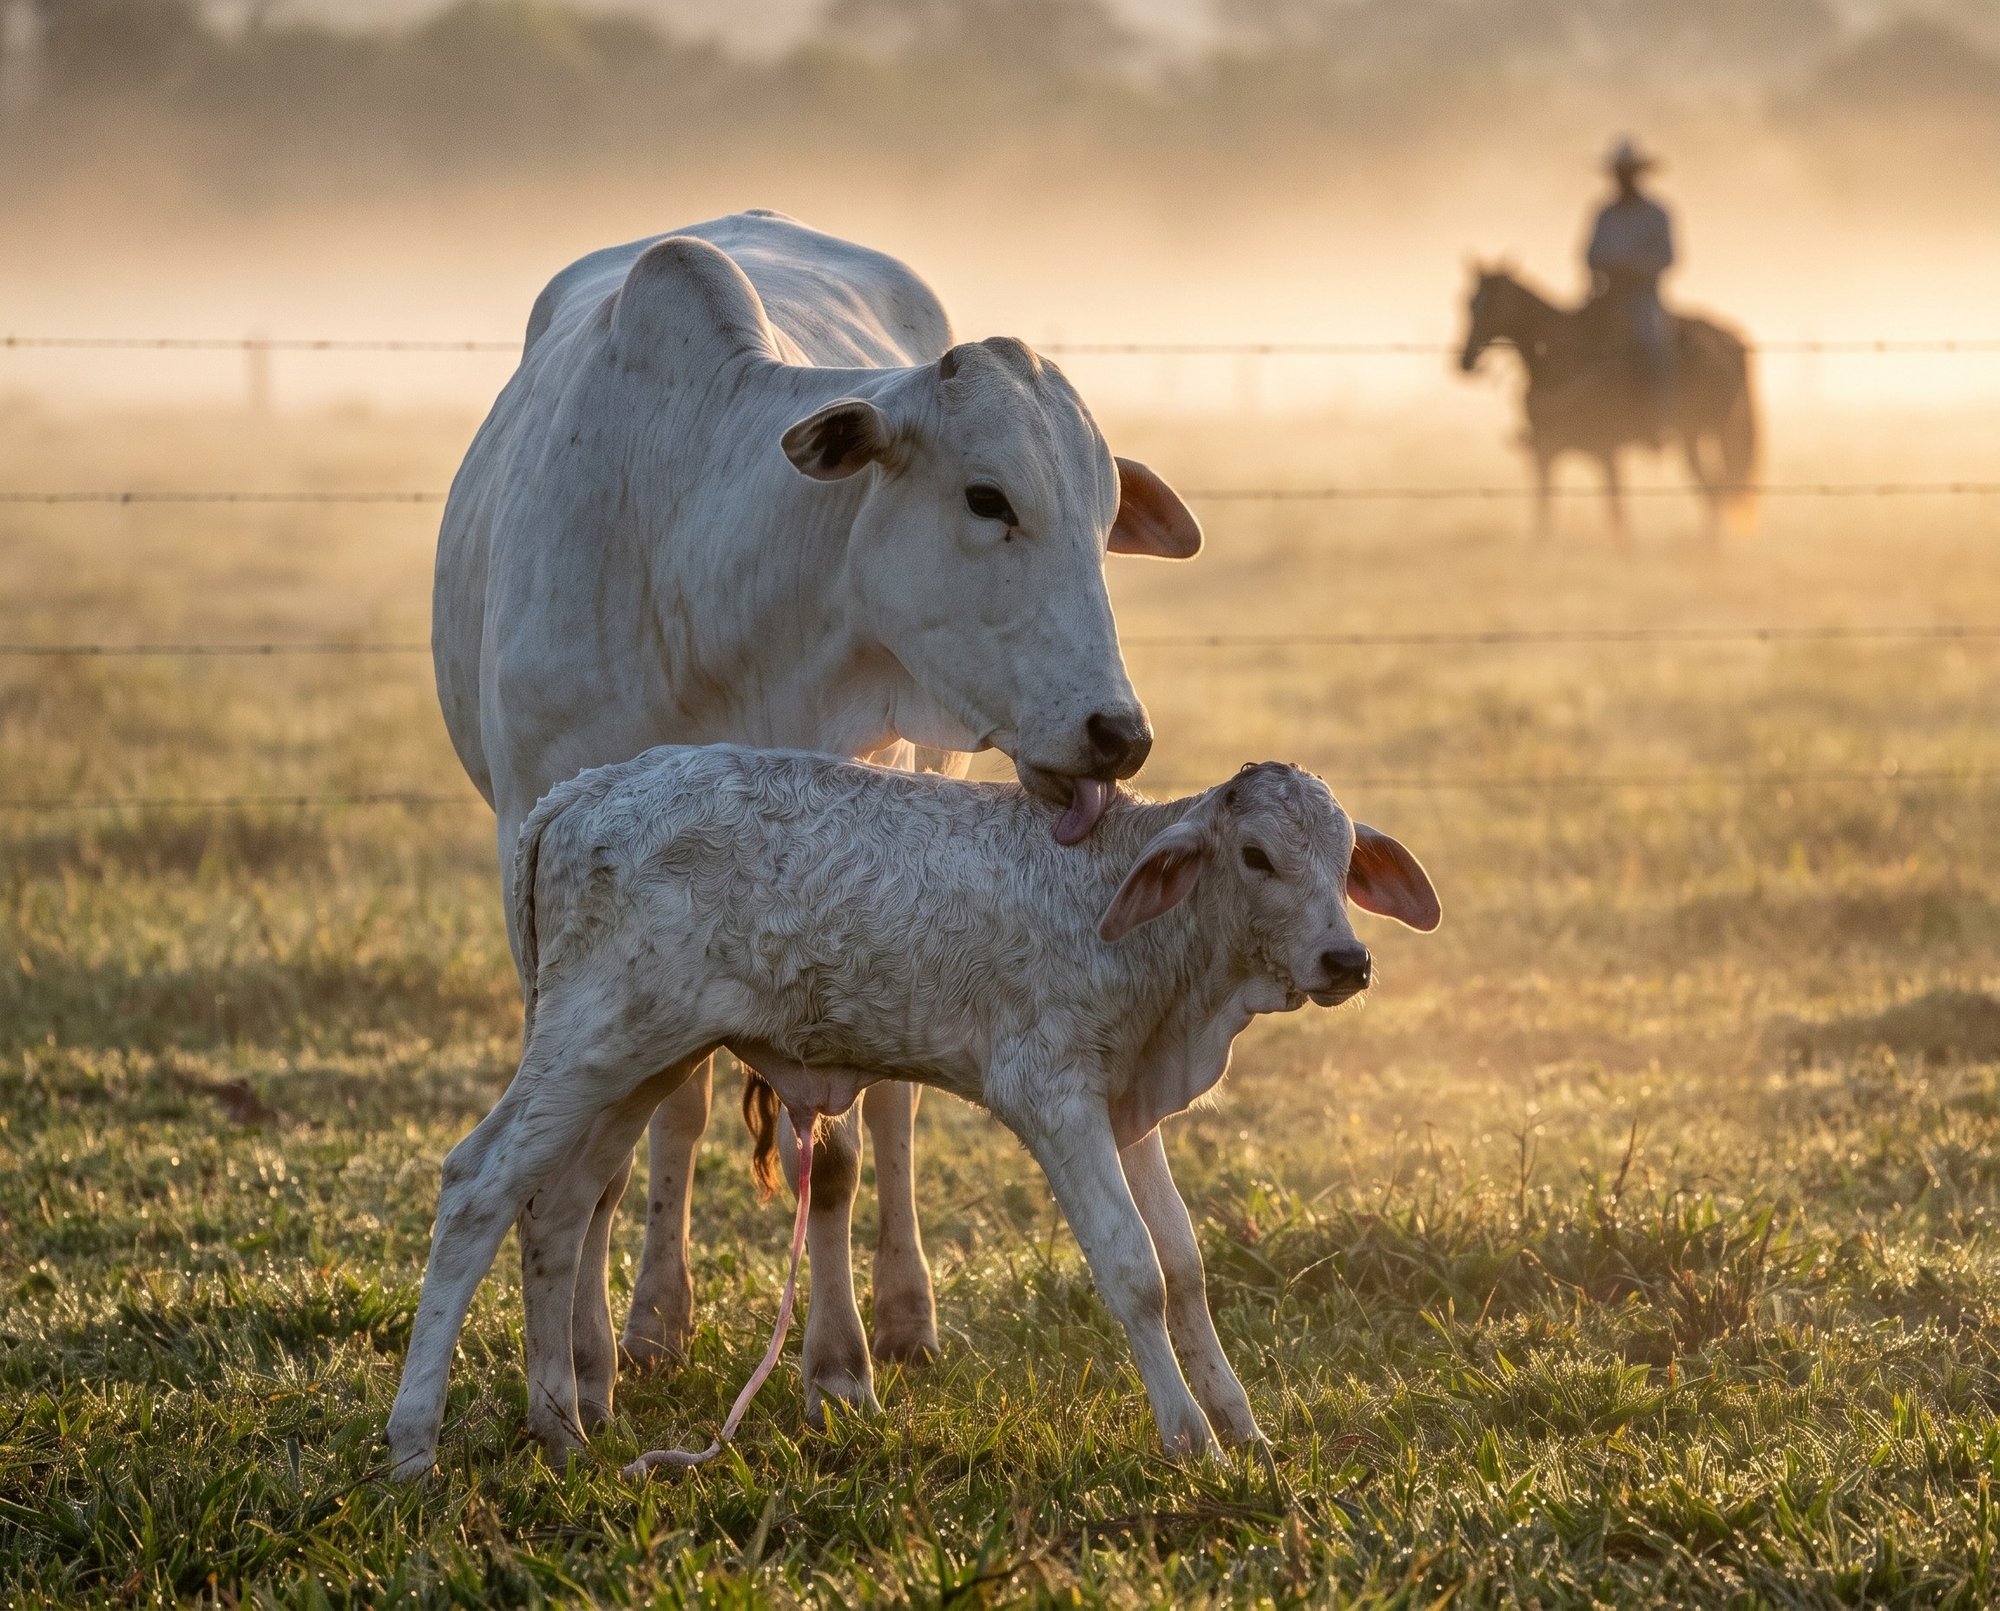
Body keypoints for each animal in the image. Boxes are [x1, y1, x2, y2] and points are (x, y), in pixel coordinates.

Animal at [429, 210, 1202, 1444]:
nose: (1115, 733)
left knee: (884, 1115)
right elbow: (586, 1160)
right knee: (674, 1116)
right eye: (987, 498)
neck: (701, 572)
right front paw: (581, 1373)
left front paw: (837, 1368)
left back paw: (899, 1310)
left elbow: (831, 1155)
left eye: (1101, 521)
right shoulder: (546, 878)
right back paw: (651, 1323)